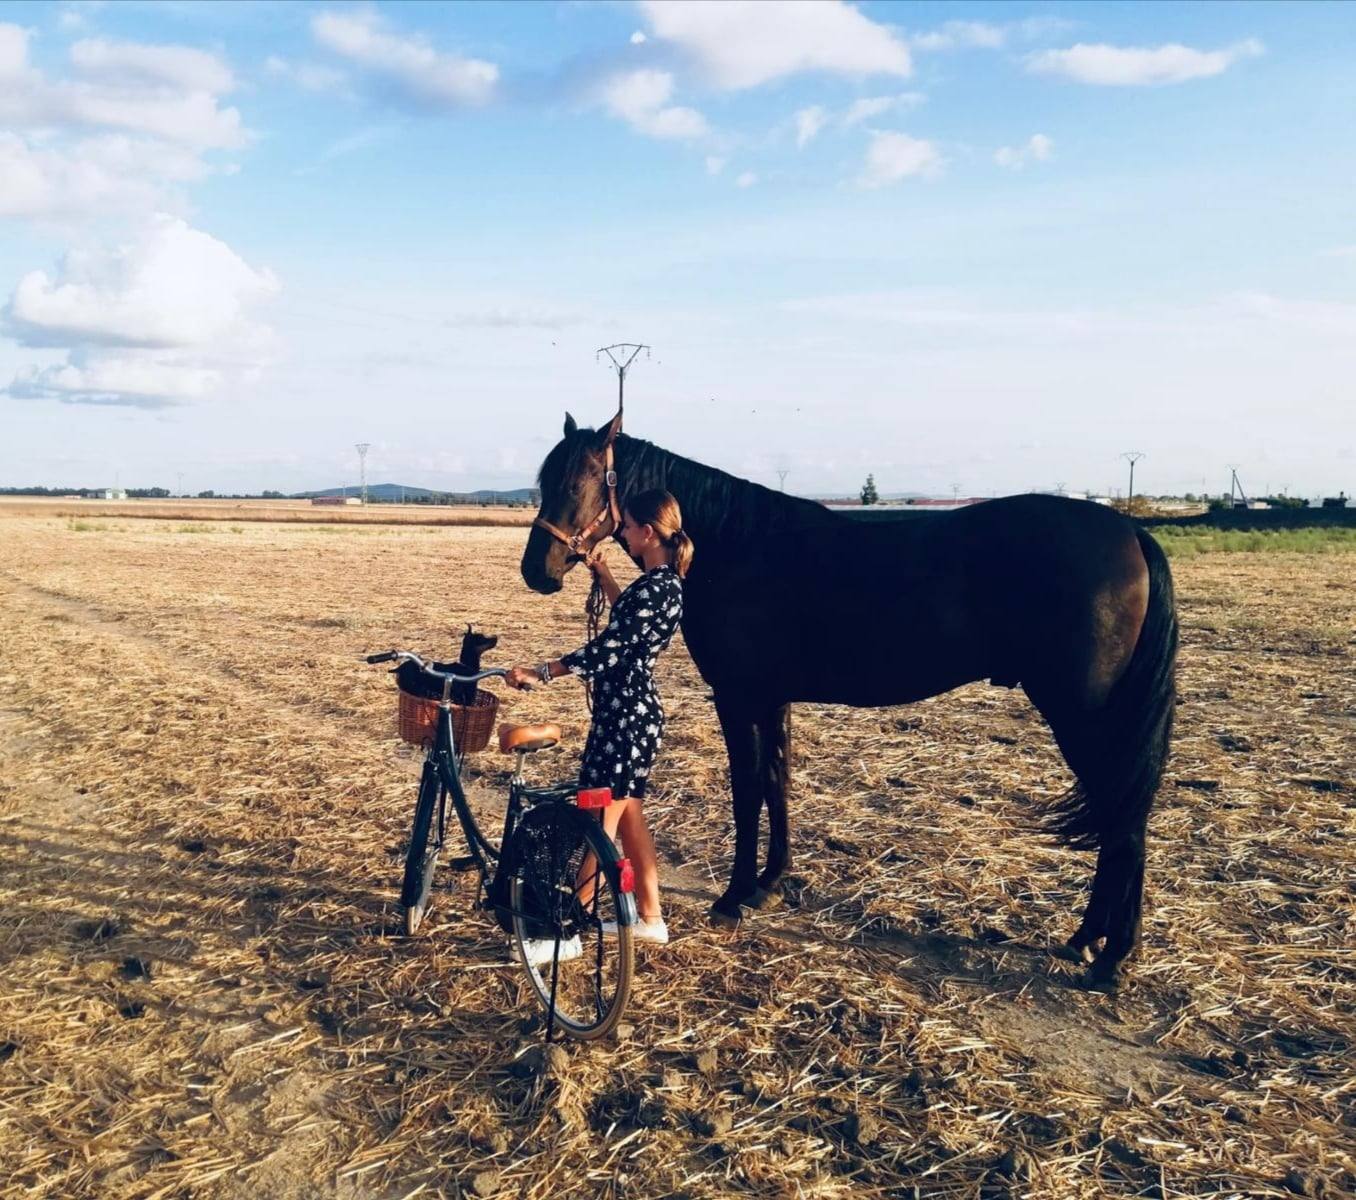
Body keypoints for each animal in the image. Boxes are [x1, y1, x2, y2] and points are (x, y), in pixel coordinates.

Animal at [520, 412, 1177, 981]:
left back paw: (1110, 957)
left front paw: (734, 895)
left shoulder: (739, 695)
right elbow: (778, 780)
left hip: (1083, 716)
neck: (734, 543)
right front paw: (770, 884)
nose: (537, 570)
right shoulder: (773, 697)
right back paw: (1090, 939)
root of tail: (1131, 531)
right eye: (543, 480)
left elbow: (748, 788)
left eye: (576, 480)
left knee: (1125, 817)